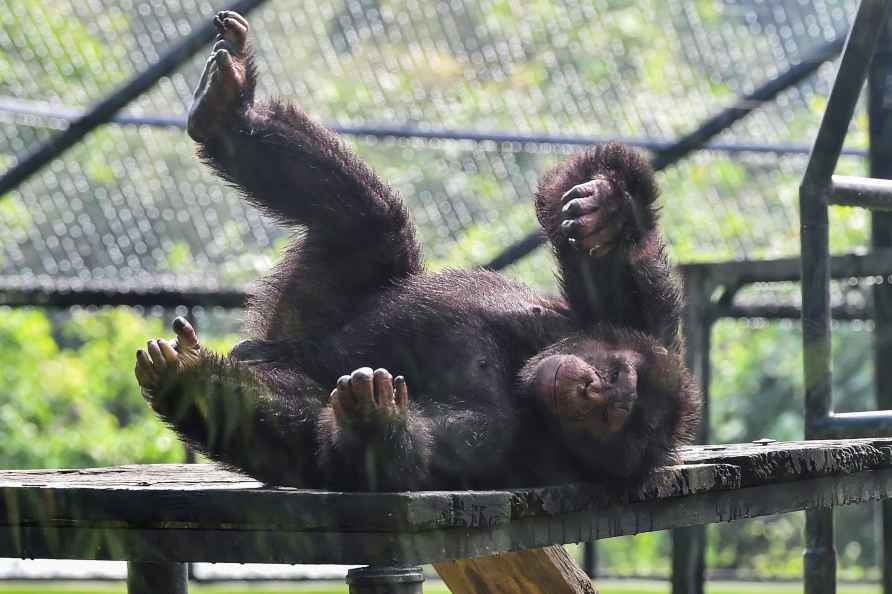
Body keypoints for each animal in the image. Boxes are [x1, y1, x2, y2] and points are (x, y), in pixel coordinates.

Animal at [134, 11, 704, 490]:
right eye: (617, 377)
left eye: (612, 416)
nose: (591, 390)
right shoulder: (612, 326)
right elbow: (612, 283)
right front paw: (610, 208)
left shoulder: (491, 441)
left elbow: (377, 449)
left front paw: (375, 422)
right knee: (371, 218)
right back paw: (227, 109)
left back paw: (186, 381)